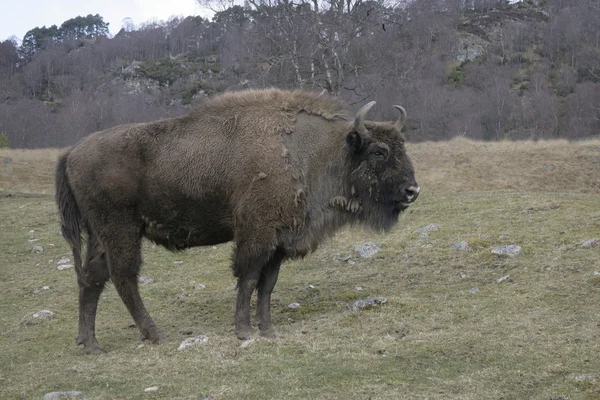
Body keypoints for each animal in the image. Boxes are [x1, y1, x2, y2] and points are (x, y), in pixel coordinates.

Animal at [57, 88, 422, 354]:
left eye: (402, 146)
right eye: (377, 151)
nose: (412, 190)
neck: (309, 151)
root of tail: (71, 152)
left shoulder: (279, 241)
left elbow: (267, 285)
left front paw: (269, 330)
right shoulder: (256, 234)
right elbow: (247, 279)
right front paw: (245, 331)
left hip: (99, 235)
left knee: (91, 278)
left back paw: (90, 344)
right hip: (122, 230)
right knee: (123, 277)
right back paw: (154, 334)